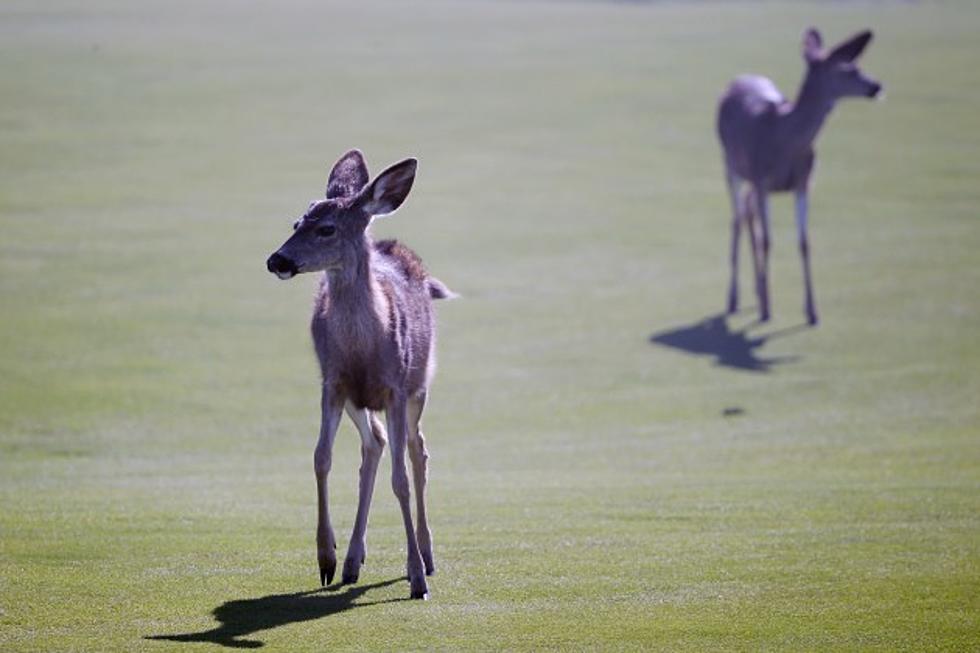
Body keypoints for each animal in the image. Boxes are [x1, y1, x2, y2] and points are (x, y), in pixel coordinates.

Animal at [264, 150, 456, 600]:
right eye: (296, 224)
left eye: (326, 228)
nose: (276, 260)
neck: (363, 349)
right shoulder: (332, 383)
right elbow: (321, 458)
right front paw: (325, 558)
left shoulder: (396, 387)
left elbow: (400, 480)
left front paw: (417, 578)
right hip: (359, 400)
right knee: (375, 444)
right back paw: (353, 560)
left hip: (420, 384)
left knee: (417, 450)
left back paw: (427, 555)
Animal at [716, 27, 884, 324]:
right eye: (847, 69)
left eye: (856, 65)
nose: (876, 86)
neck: (785, 137)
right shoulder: (761, 179)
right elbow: (767, 241)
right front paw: (767, 310)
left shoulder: (804, 183)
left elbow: (804, 242)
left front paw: (812, 311)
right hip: (732, 166)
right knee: (737, 219)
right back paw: (735, 299)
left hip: (750, 180)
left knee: (747, 213)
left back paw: (757, 291)